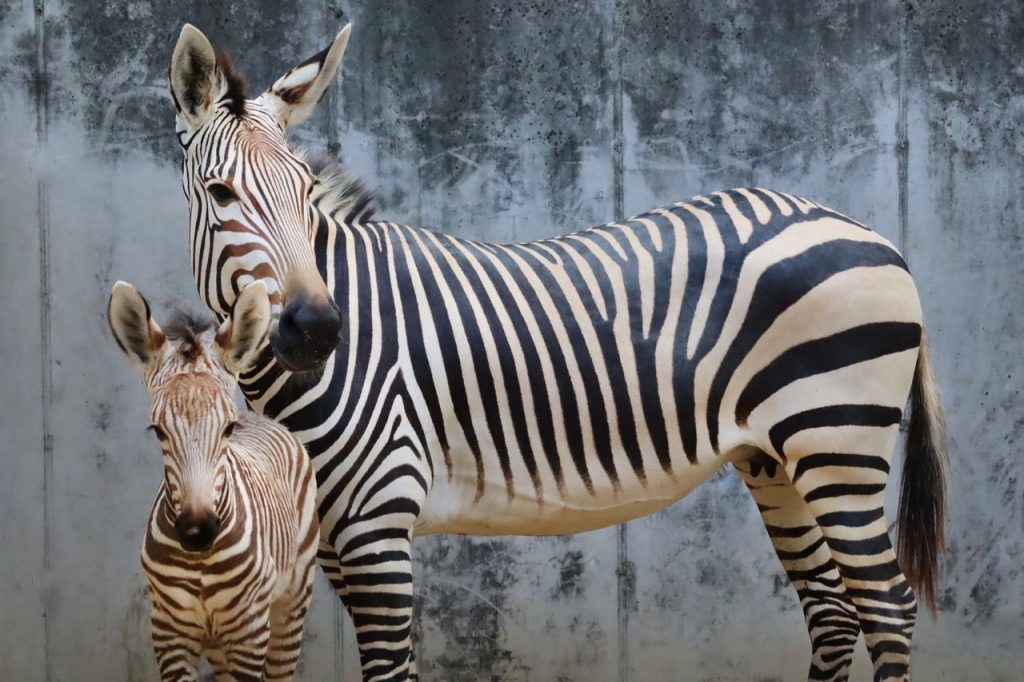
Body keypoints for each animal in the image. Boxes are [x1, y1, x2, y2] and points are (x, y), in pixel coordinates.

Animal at [107, 280, 320, 681]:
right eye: (158, 430)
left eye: (228, 428)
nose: (198, 531)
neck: (200, 565)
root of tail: (262, 419)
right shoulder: (169, 631)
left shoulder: (248, 632)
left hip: (290, 604)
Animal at [164, 23, 948, 682]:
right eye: (221, 192)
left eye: (303, 191)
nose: (321, 330)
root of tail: (876, 236)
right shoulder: (331, 537)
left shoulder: (380, 521)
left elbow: (389, 668)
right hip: (777, 457)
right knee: (834, 610)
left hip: (838, 443)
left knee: (887, 605)